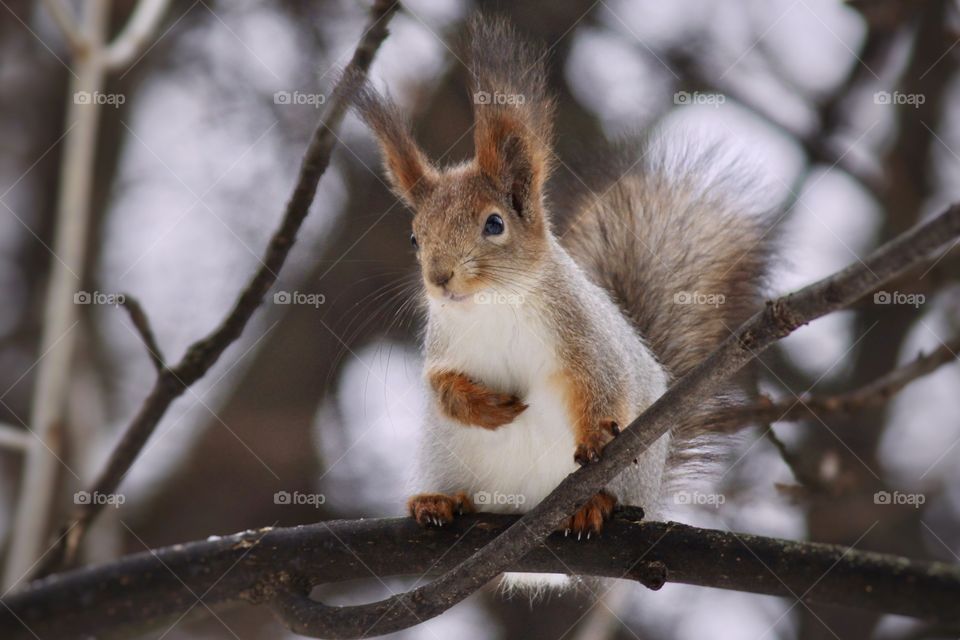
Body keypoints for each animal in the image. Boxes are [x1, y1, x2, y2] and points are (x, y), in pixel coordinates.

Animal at [351, 15, 772, 588]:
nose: (440, 279)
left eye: (494, 224)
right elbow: (439, 385)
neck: (495, 304)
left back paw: (592, 505)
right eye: (415, 236)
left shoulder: (583, 337)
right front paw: (484, 406)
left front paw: (595, 439)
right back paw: (440, 501)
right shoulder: (444, 343)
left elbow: (601, 384)